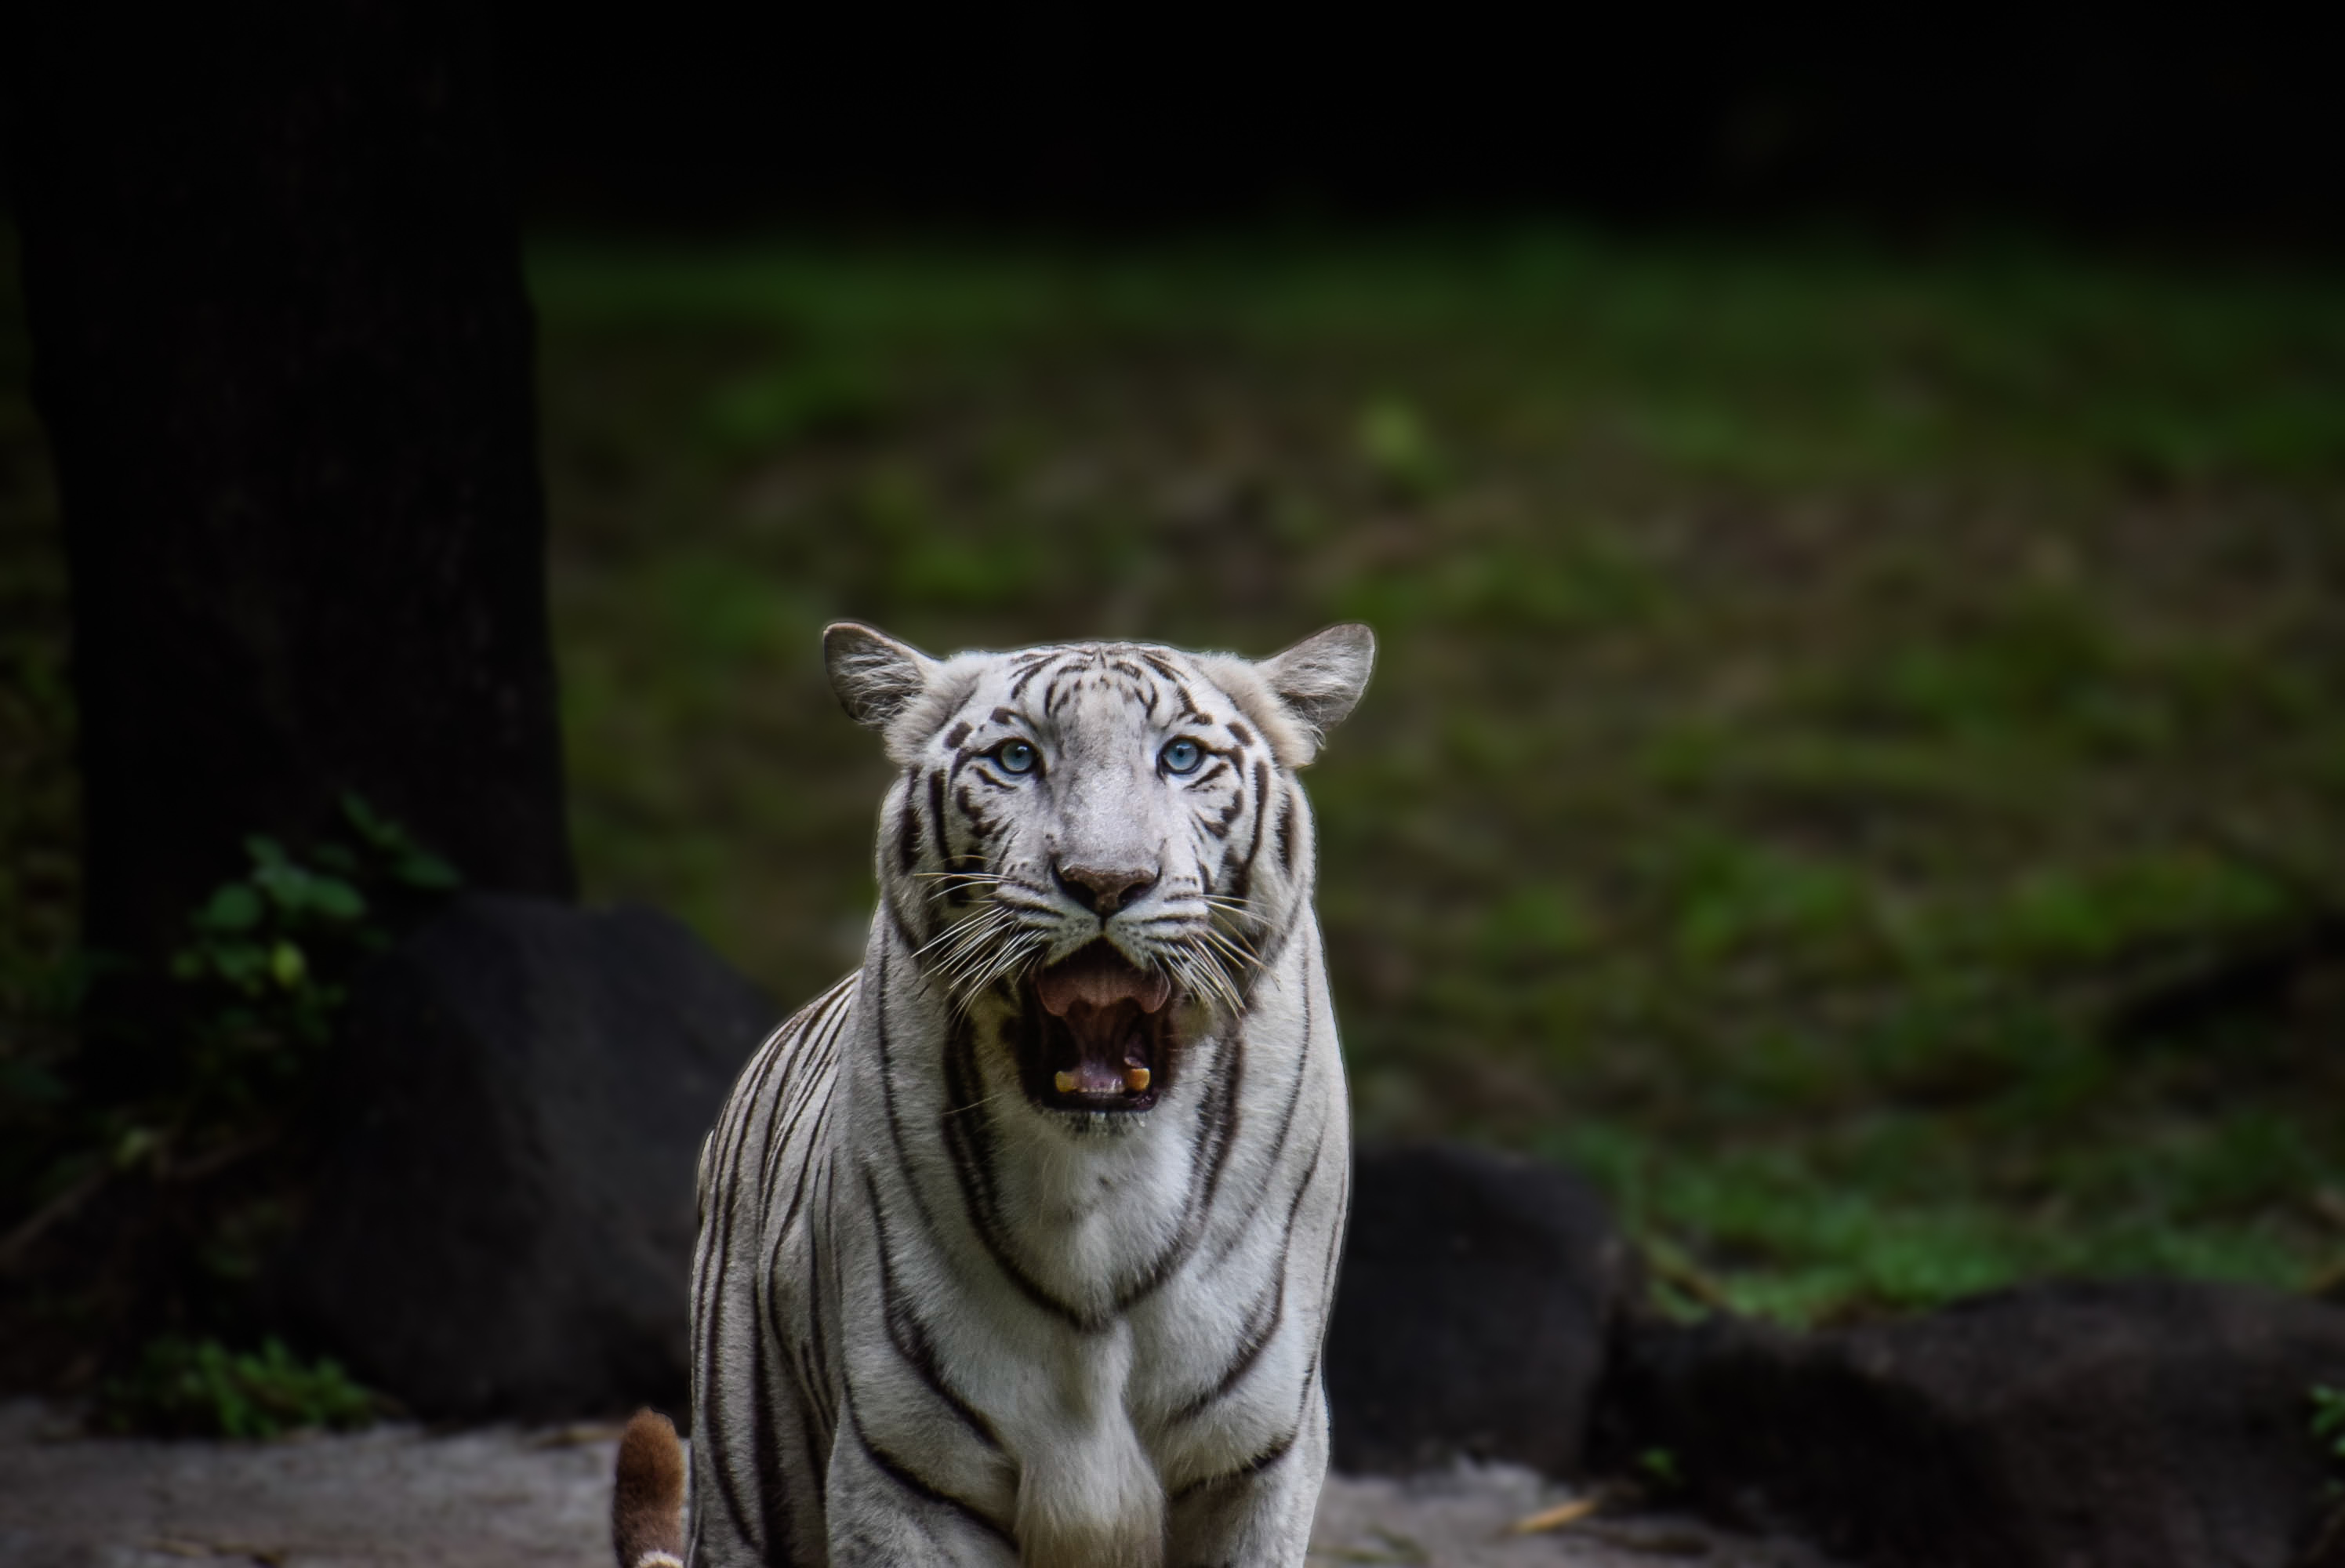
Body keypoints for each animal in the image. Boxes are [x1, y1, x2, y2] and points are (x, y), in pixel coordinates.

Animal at [612, 620, 1374, 1568]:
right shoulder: (909, 1466)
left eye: (1181, 757)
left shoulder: (1257, 1458)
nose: (1106, 880)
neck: (1101, 1194)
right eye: (1017, 759)